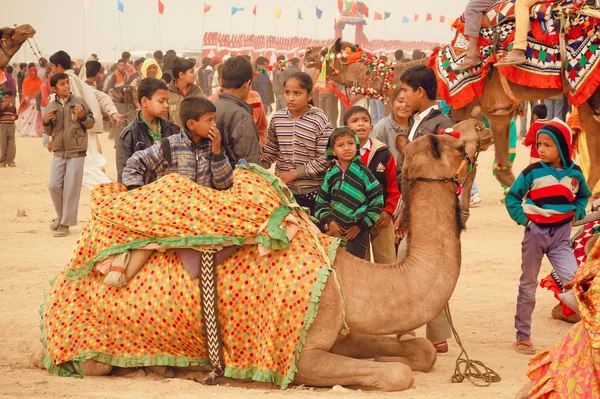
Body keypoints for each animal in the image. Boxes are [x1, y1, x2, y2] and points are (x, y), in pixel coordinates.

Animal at [31, 119, 492, 394]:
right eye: (449, 140)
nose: (479, 125)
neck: (349, 279)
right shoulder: (297, 357)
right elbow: (398, 374)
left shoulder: (337, 326)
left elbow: (422, 352)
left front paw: (398, 350)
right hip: (90, 344)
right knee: (91, 365)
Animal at [304, 38, 600, 194]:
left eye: (327, 52)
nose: (307, 53)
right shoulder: (496, 112)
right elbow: (497, 165)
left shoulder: (463, 112)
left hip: (586, 97)